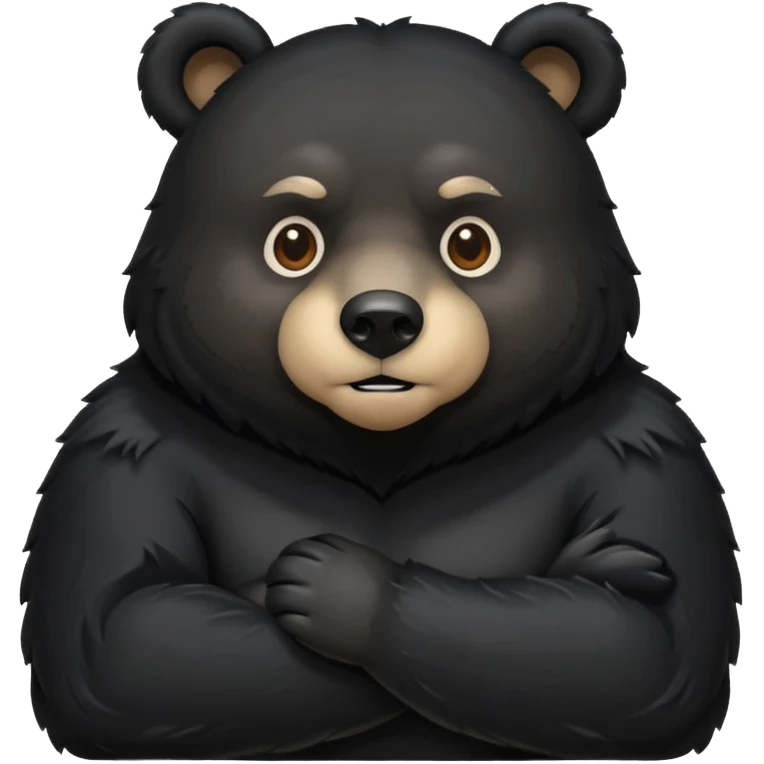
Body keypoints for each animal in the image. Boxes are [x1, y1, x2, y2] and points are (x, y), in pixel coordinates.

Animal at [20, 1, 742, 761]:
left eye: (470, 242)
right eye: (293, 242)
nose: (383, 321)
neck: (381, 447)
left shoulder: (639, 438)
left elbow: (640, 646)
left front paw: (335, 587)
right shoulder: (128, 437)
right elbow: (121, 633)